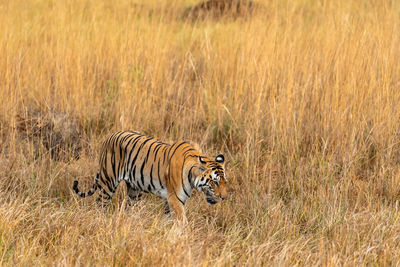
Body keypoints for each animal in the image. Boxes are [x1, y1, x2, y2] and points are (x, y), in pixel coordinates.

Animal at [72, 131, 228, 221]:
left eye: (224, 182)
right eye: (214, 182)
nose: (224, 198)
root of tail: (110, 136)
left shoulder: (169, 199)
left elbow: (168, 218)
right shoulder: (175, 199)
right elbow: (182, 221)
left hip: (134, 191)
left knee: (130, 208)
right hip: (108, 182)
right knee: (100, 204)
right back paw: (100, 220)